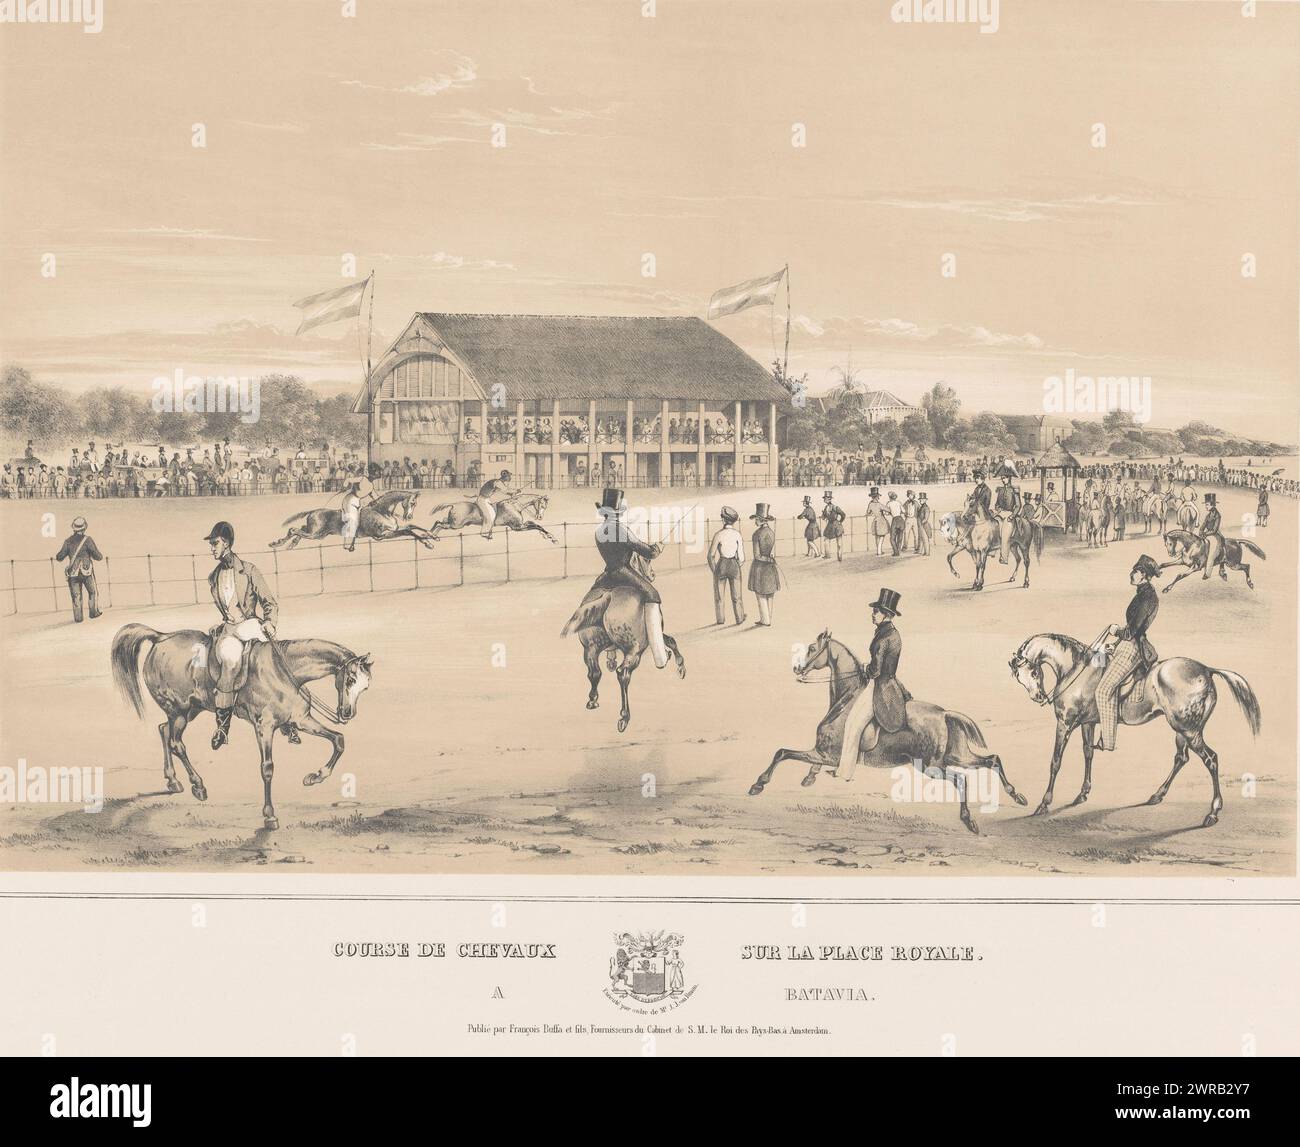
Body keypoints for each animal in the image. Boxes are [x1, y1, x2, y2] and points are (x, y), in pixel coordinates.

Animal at [108, 621, 374, 827]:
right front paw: (269, 816)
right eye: (350, 679)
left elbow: (338, 739)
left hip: (191, 710)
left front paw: (315, 777)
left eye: (366, 687)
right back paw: (198, 786)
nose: (347, 713)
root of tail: (160, 637)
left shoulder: (302, 720)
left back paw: (173, 781)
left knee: (164, 730)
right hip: (179, 711)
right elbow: (267, 769)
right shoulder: (264, 728)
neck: (284, 672)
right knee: (176, 743)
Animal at [561, 585, 686, 728]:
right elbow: (671, 640)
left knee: (594, 673)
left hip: (590, 649)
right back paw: (624, 717)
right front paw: (680, 667)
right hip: (634, 651)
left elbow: (670, 640)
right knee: (623, 673)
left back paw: (592, 701)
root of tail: (608, 595)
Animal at [754, 629, 1024, 837]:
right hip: (956, 756)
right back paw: (1018, 796)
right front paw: (809, 777)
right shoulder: (822, 753)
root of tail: (944, 713)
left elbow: (782, 752)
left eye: (811, 648)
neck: (845, 700)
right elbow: (794, 757)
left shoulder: (827, 754)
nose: (797, 669)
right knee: (992, 760)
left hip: (930, 765)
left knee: (962, 779)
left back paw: (969, 820)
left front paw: (758, 784)